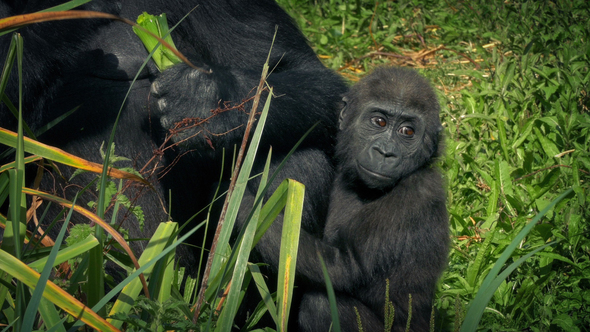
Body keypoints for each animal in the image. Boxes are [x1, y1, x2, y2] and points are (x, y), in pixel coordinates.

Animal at [247, 67, 450, 330]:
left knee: (320, 305)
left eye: (408, 132)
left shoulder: (418, 193)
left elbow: (342, 266)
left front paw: (238, 208)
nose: (386, 152)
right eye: (379, 122)